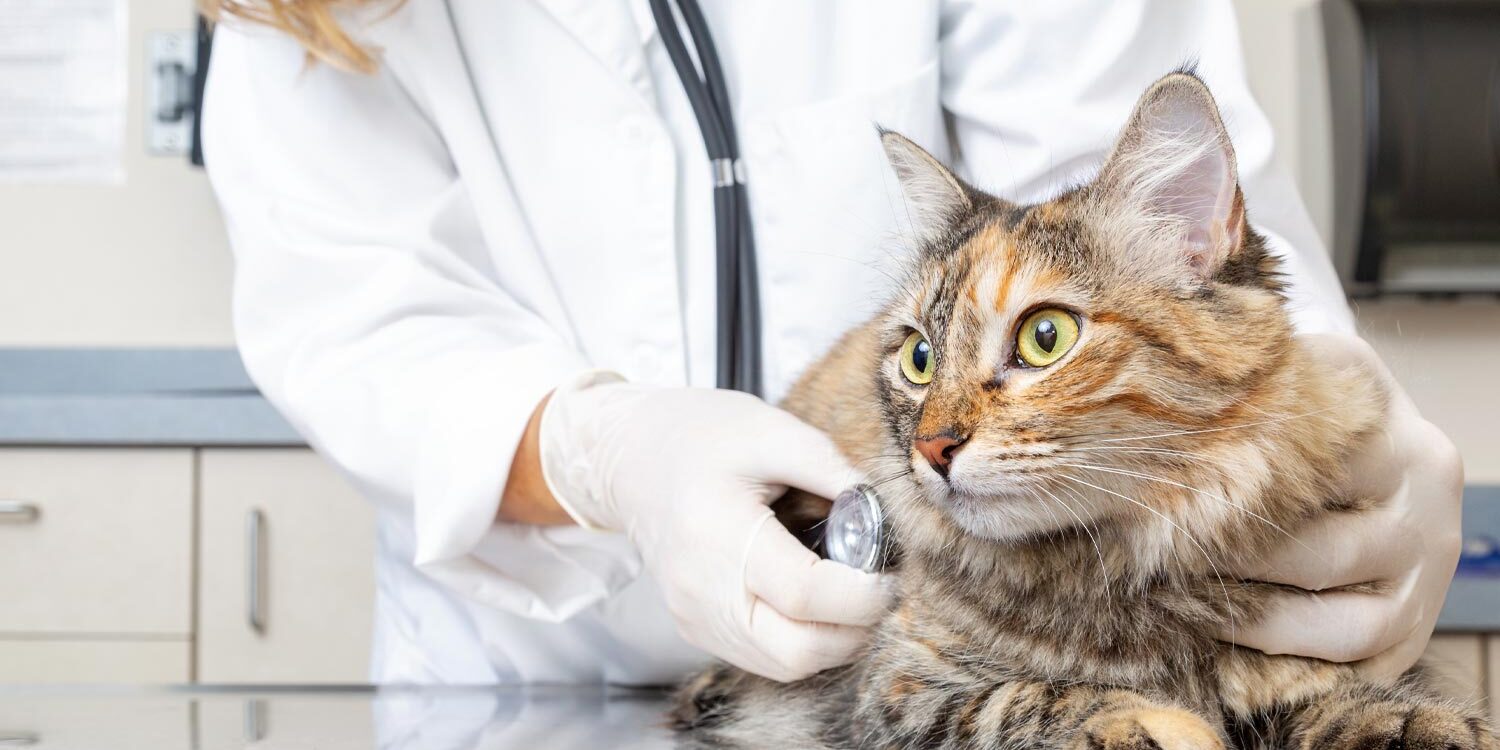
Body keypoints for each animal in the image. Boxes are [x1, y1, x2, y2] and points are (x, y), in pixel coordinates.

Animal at [669, 71, 1488, 750]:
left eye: (1045, 338)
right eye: (919, 357)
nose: (932, 449)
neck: (1127, 569)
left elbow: (1351, 697)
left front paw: (1423, 723)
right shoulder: (898, 688)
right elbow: (1032, 698)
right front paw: (1156, 723)